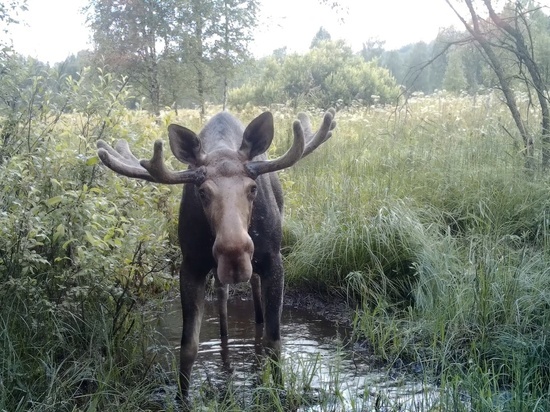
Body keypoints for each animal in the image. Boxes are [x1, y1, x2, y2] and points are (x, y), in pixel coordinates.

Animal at [96, 108, 336, 398]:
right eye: (202, 192)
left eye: (252, 188)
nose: (235, 256)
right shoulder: (191, 265)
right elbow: (188, 346)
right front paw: (182, 397)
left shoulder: (273, 259)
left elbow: (273, 340)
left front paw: (278, 390)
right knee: (222, 298)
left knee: (255, 293)